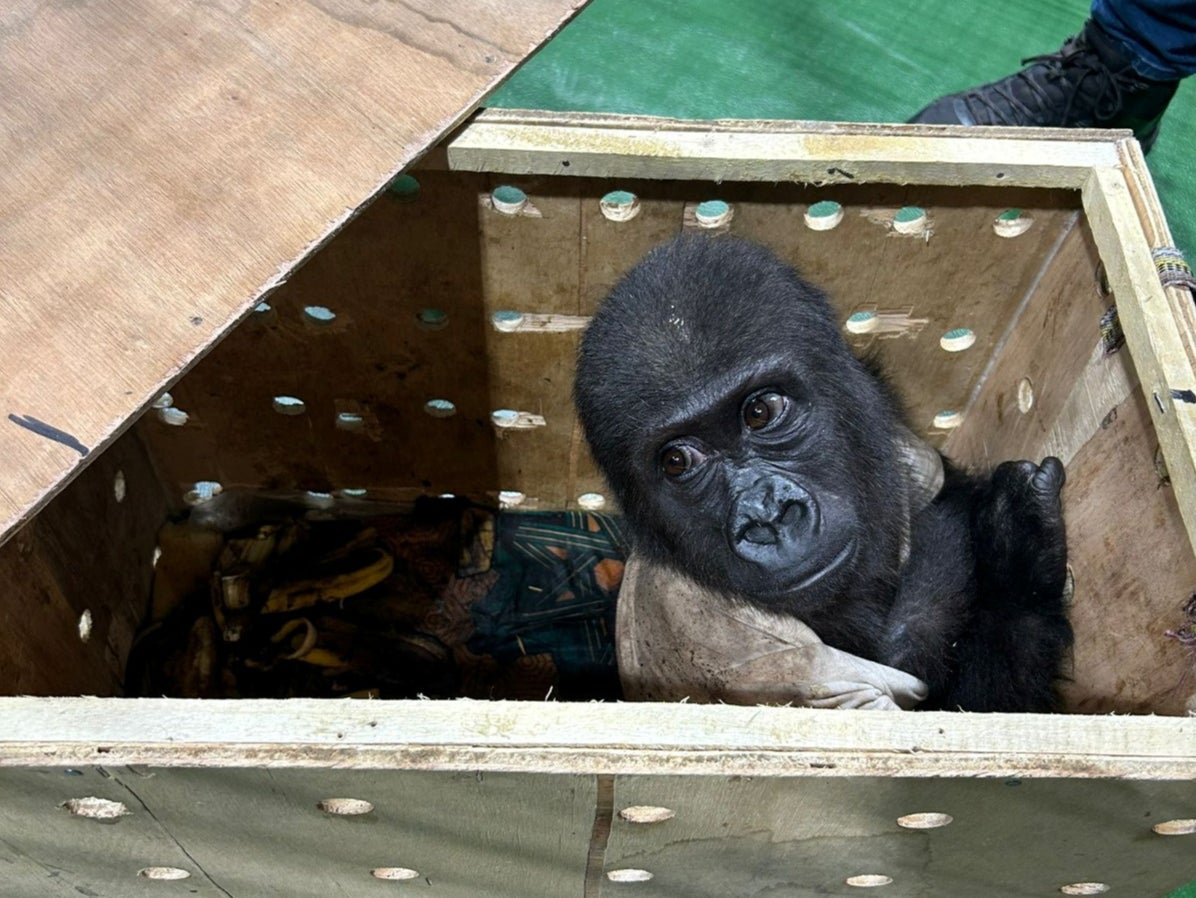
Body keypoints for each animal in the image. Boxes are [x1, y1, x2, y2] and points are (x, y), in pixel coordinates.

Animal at [574, 235, 1071, 712]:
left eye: (760, 412)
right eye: (677, 461)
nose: (768, 516)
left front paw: (1013, 541)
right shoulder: (757, 654)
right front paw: (1017, 563)